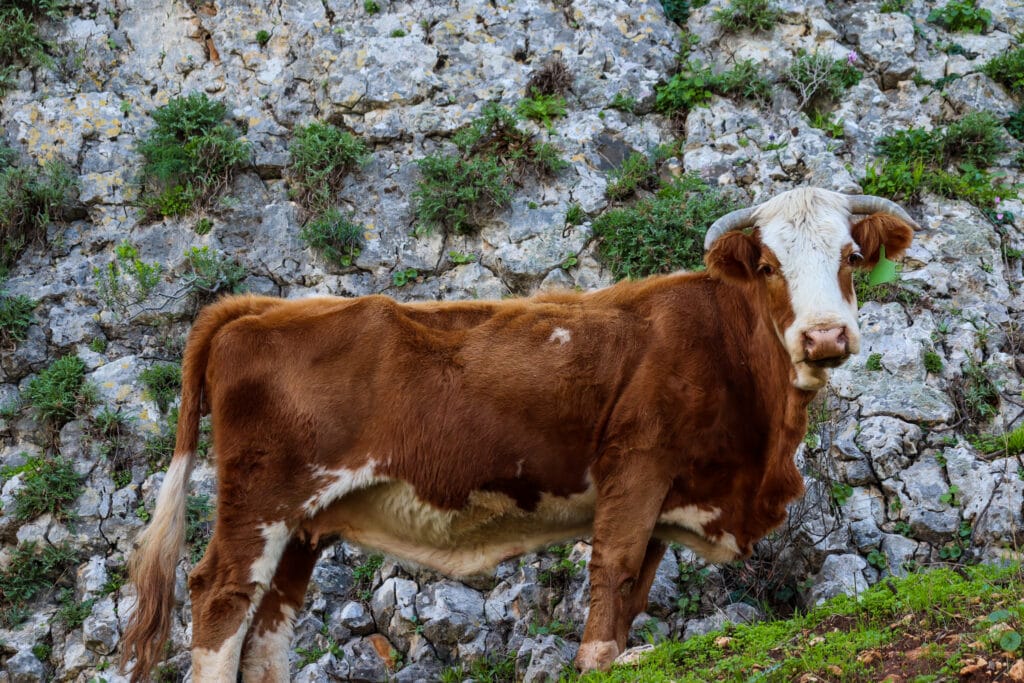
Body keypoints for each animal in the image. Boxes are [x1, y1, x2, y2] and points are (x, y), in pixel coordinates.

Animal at [119, 188, 913, 683]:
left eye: (849, 257)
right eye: (772, 265)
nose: (825, 336)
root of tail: (260, 308)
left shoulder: (668, 494)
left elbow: (637, 583)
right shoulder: (637, 462)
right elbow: (614, 567)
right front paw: (600, 659)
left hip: (305, 523)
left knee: (268, 628)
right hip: (263, 500)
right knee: (220, 597)